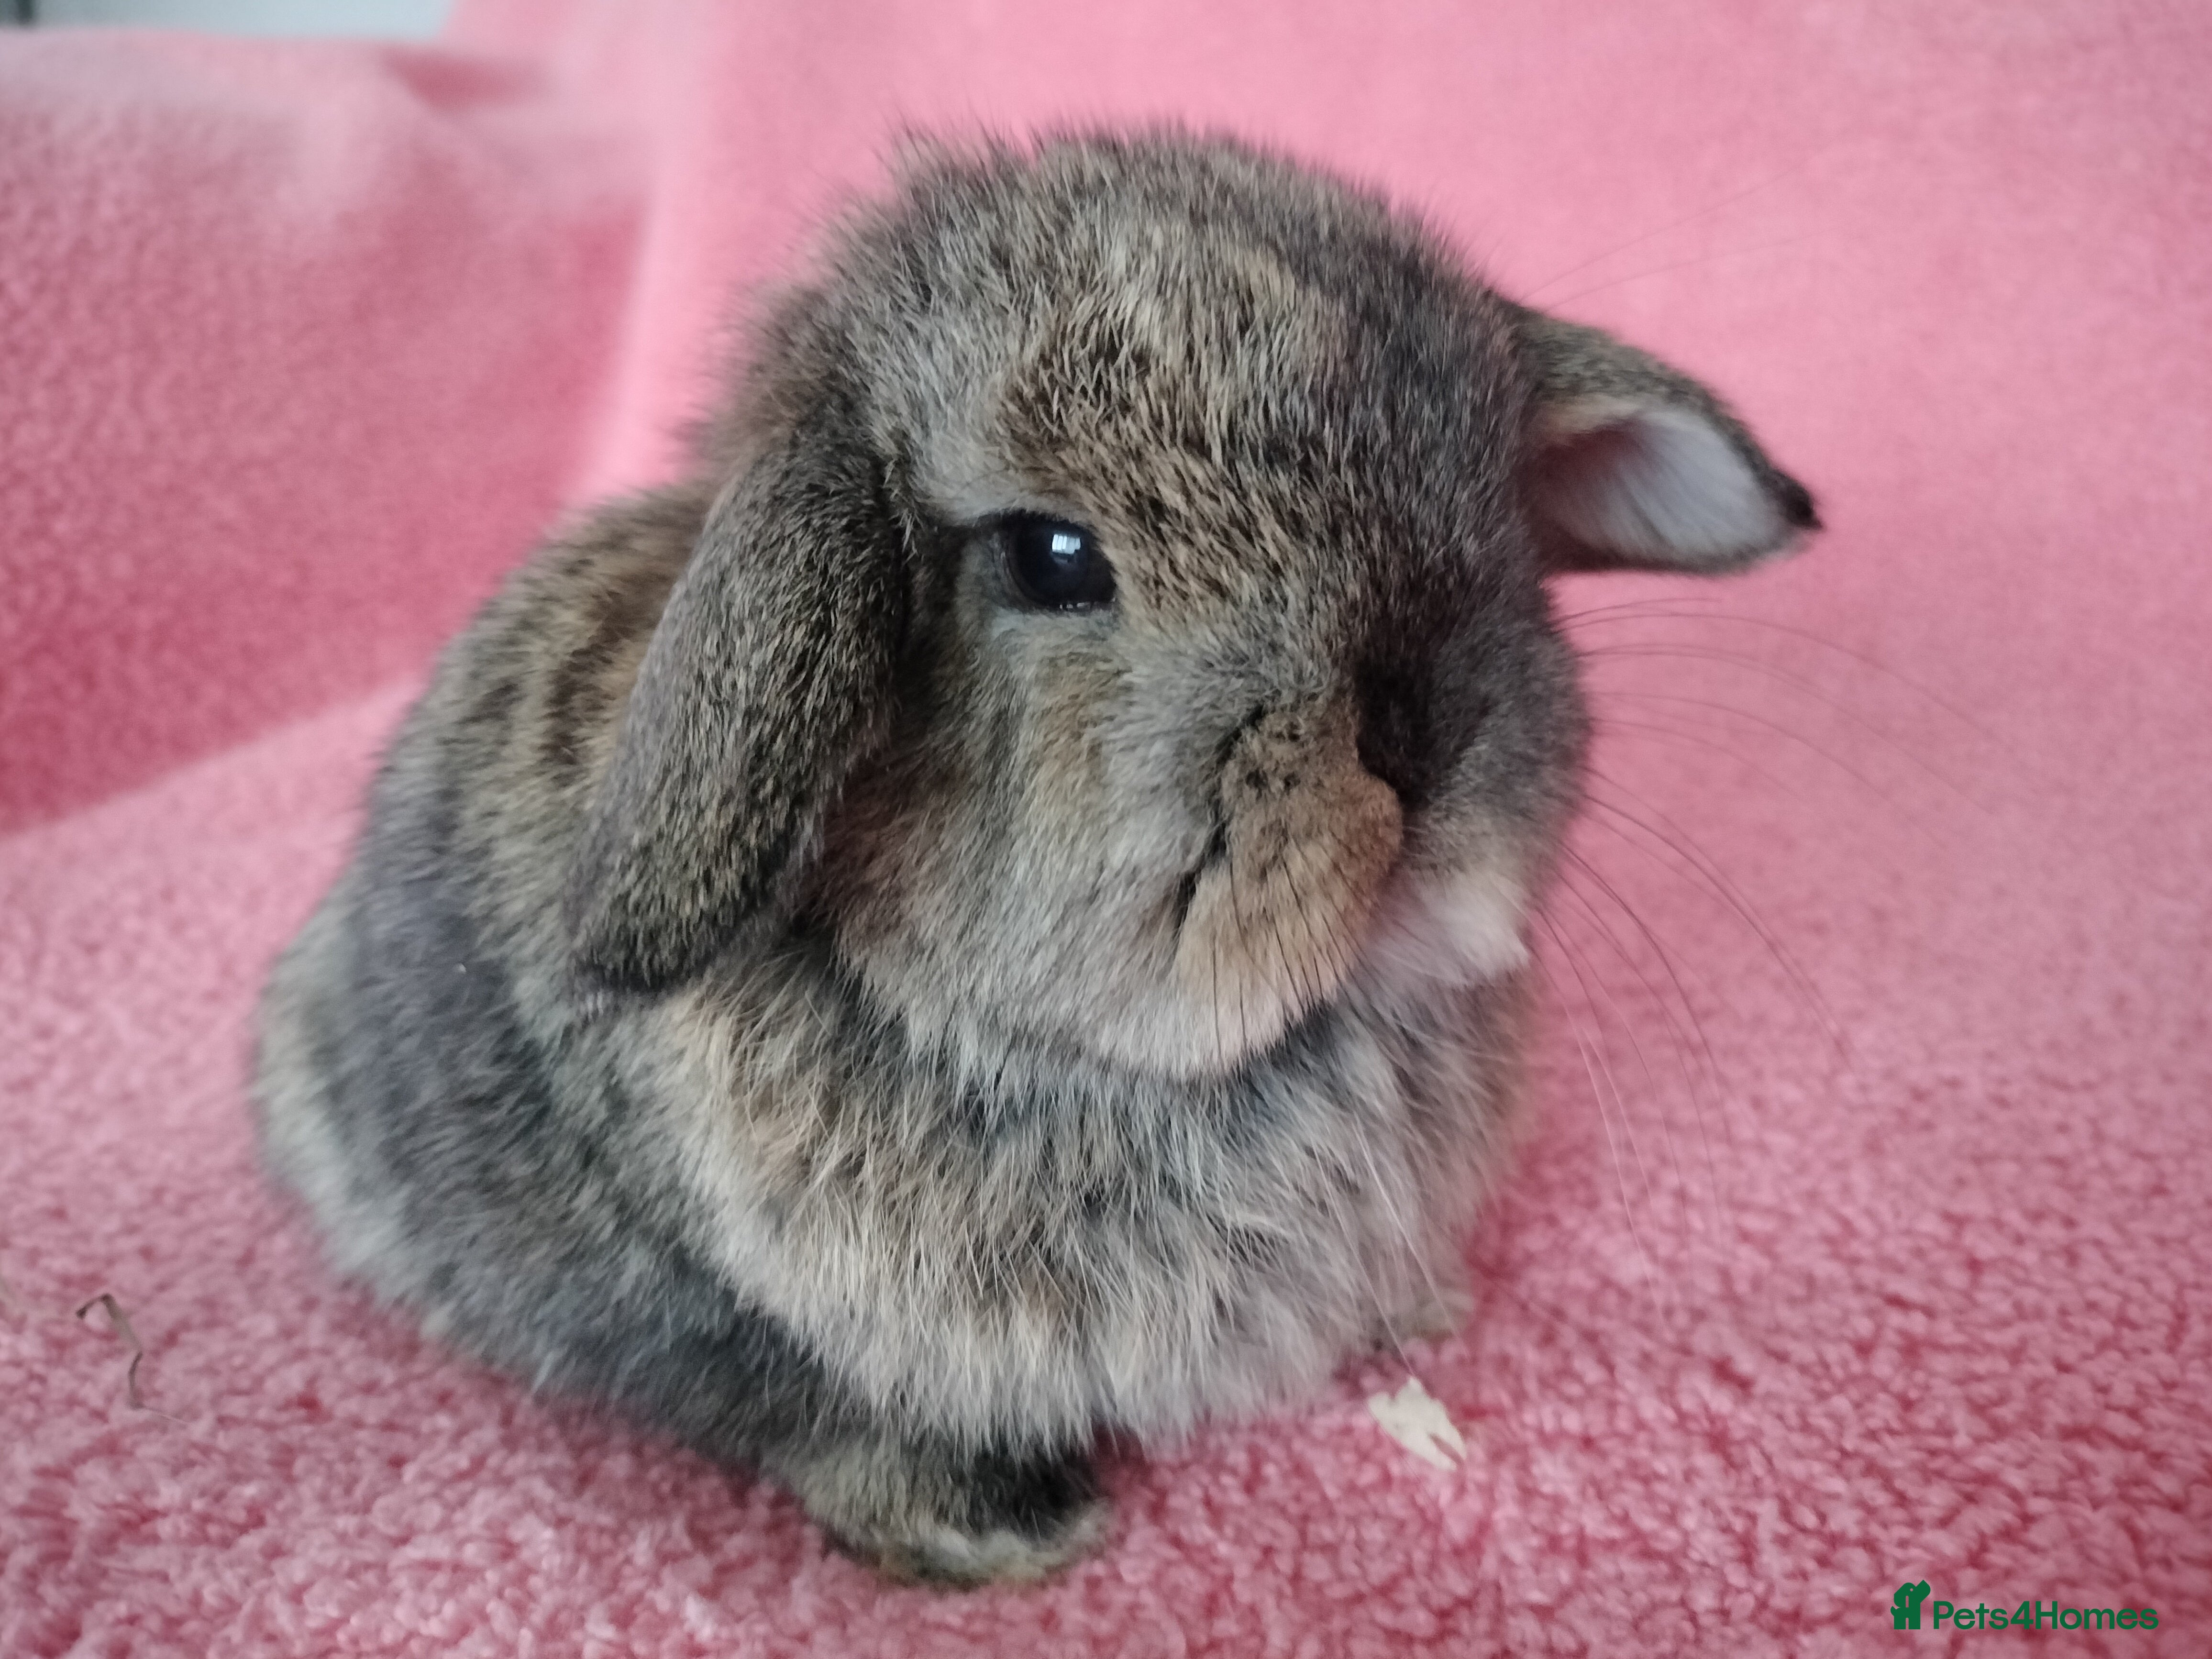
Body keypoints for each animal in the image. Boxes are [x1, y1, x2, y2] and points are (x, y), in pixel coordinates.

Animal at [253, 129, 1816, 1587]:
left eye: (1490, 509)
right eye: (1050, 556)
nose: (1419, 733)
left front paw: (1417, 1315)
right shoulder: (723, 1323)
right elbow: (806, 1407)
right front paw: (1008, 1531)